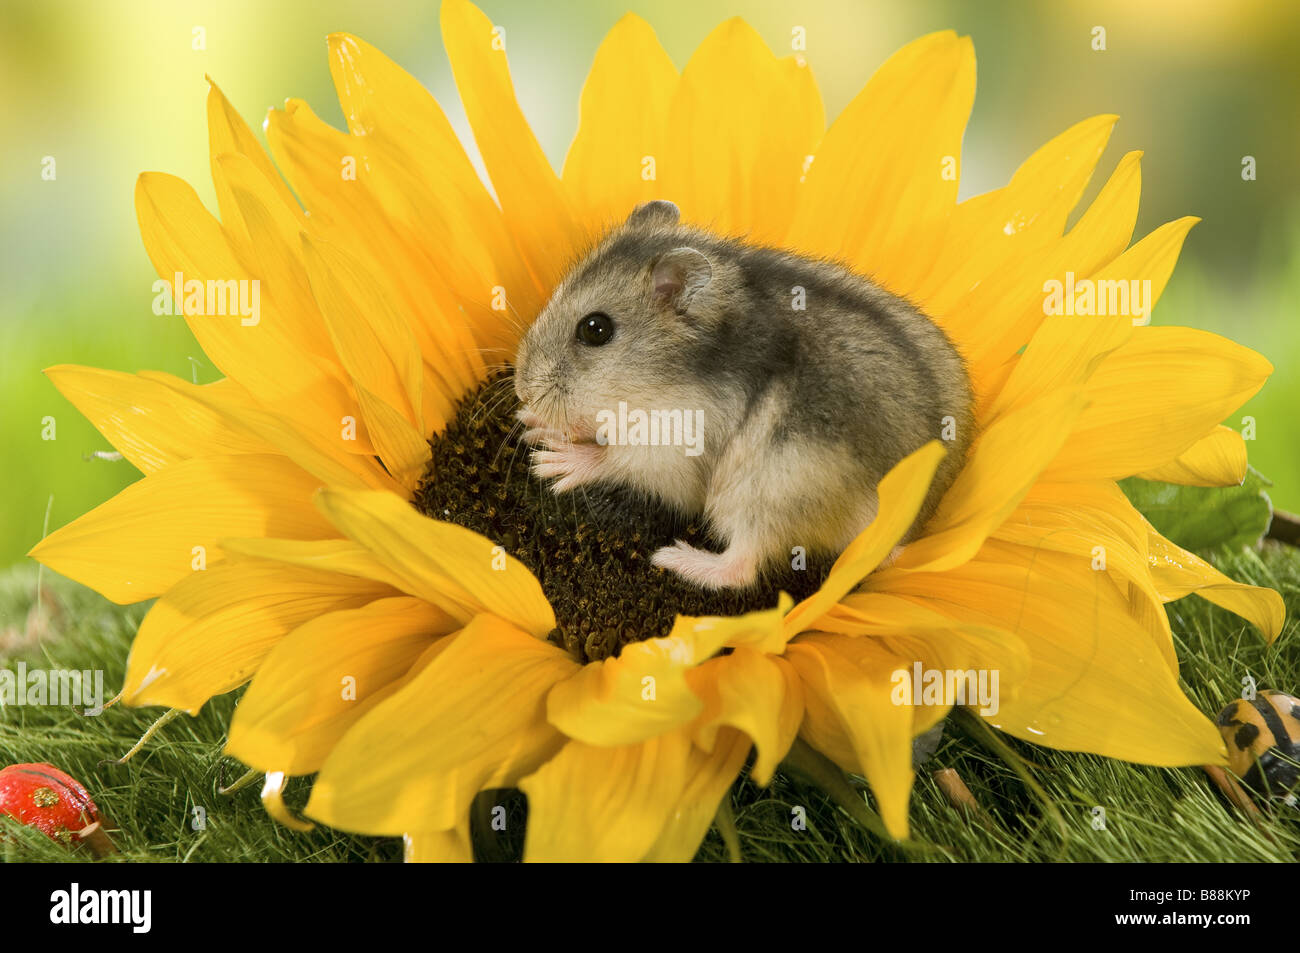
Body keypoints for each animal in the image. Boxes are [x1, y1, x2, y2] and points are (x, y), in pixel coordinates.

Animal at [512, 200, 973, 591]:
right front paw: (530, 423)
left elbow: (613, 458)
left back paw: (674, 558)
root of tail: (901, 530)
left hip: (767, 492)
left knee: (742, 567)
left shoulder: (674, 448)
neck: (662, 376)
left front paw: (551, 460)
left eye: (595, 329)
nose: (523, 389)